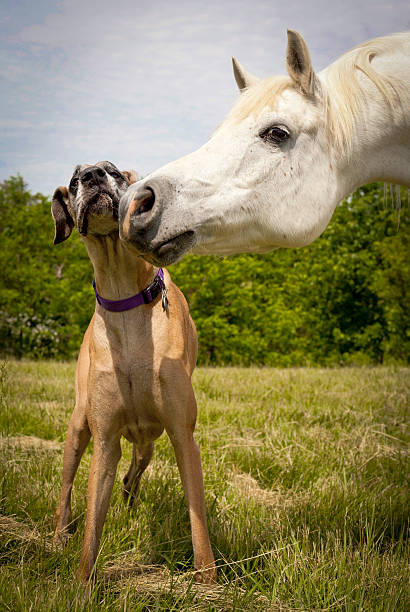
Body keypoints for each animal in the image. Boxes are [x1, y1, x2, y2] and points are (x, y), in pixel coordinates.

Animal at [52, 161, 216, 584]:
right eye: (74, 180)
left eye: (112, 171)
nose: (93, 177)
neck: (124, 297)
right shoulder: (105, 439)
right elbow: (93, 525)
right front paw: (82, 585)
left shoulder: (181, 434)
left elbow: (197, 518)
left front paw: (208, 581)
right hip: (78, 425)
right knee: (67, 486)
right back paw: (59, 533)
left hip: (148, 443)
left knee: (132, 477)